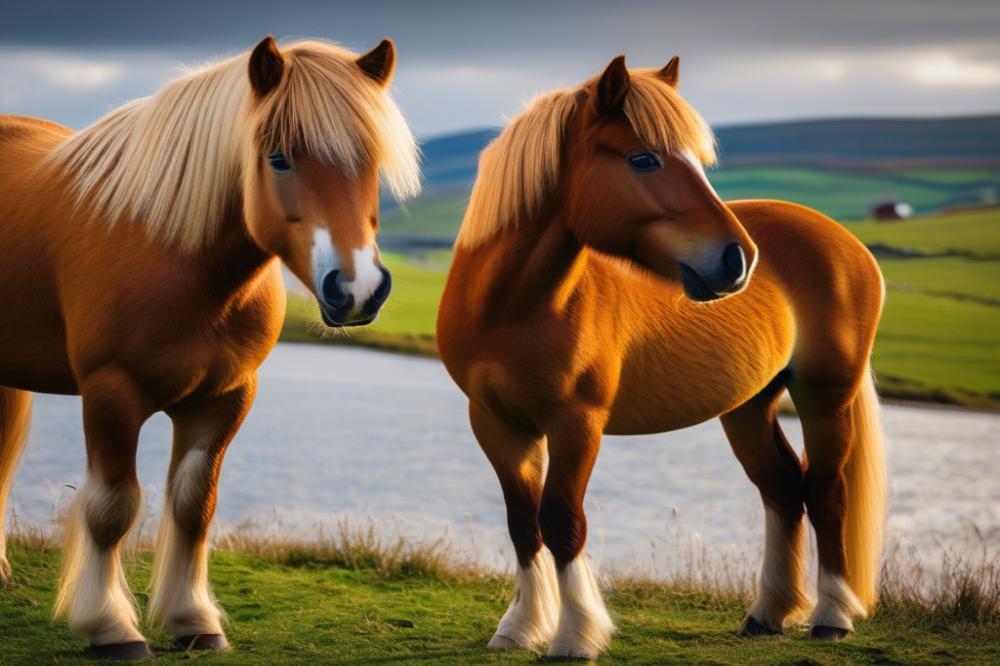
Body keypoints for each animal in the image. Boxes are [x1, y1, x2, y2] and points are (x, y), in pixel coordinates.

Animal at [0, 35, 420, 652]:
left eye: (369, 160)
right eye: (279, 157)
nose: (358, 288)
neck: (172, 249)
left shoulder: (225, 397)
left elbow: (194, 505)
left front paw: (192, 620)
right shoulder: (111, 393)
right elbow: (112, 508)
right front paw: (111, 626)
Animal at [438, 54, 884, 656]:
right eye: (643, 159)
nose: (738, 259)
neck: (511, 309)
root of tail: (846, 241)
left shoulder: (577, 423)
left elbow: (562, 521)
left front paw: (575, 637)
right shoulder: (496, 422)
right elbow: (522, 521)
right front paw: (520, 628)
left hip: (824, 395)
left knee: (826, 491)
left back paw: (832, 615)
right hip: (749, 405)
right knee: (783, 487)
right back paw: (766, 614)